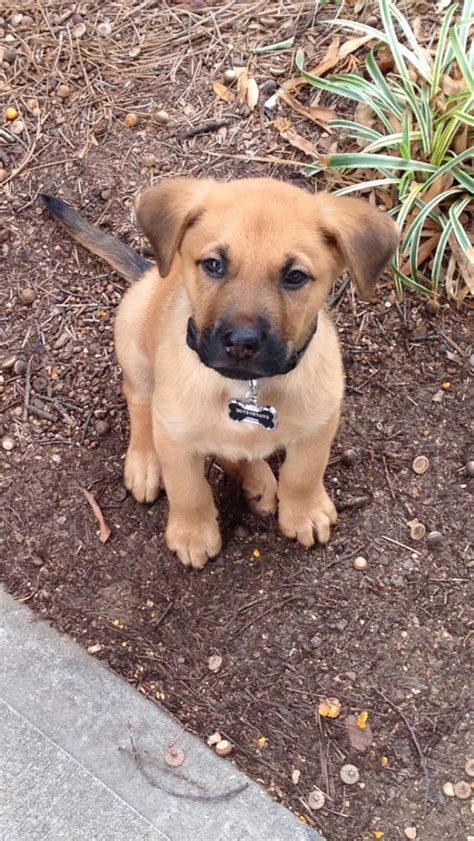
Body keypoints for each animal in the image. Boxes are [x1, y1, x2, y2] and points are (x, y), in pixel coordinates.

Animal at [41, 180, 400, 568]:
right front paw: (193, 534)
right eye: (213, 265)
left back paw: (258, 480)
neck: (247, 387)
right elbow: (189, 490)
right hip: (134, 339)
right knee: (139, 401)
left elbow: (303, 472)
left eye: (295, 277)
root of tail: (150, 273)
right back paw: (146, 462)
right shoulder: (176, 438)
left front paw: (304, 511)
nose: (241, 342)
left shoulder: (320, 422)